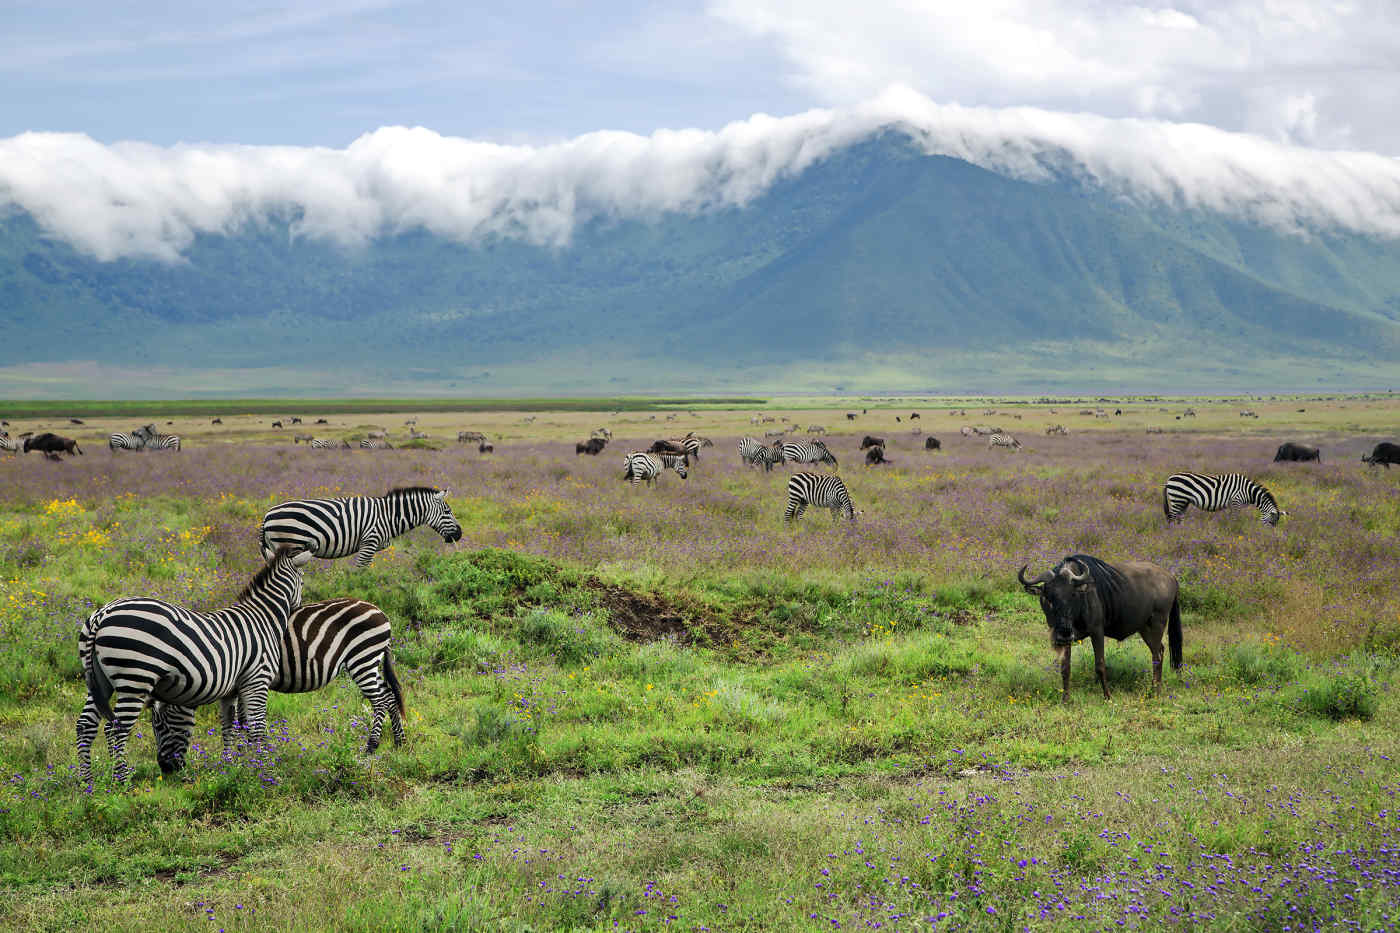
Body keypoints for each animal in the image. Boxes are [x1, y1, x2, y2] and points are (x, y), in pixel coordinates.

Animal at [75, 540, 312, 778]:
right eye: (302, 581)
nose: (298, 607)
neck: (263, 617)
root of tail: (102, 614)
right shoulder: (257, 680)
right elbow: (257, 728)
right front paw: (263, 769)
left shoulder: (232, 690)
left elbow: (229, 728)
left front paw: (231, 767)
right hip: (135, 678)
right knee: (115, 728)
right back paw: (122, 780)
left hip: (99, 680)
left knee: (86, 725)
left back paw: (88, 781)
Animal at [149, 599, 408, 767]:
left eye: (159, 726)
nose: (164, 767)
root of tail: (380, 612)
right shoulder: (245, 684)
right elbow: (243, 719)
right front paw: (246, 752)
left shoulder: (247, 679)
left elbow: (245, 719)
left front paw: (247, 754)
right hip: (371, 659)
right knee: (389, 696)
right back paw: (399, 743)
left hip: (362, 657)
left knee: (380, 700)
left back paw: (370, 747)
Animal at [257, 487, 464, 565]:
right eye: (448, 512)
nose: (459, 535)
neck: (388, 516)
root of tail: (266, 517)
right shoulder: (369, 542)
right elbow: (361, 571)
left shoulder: (375, 544)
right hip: (292, 545)